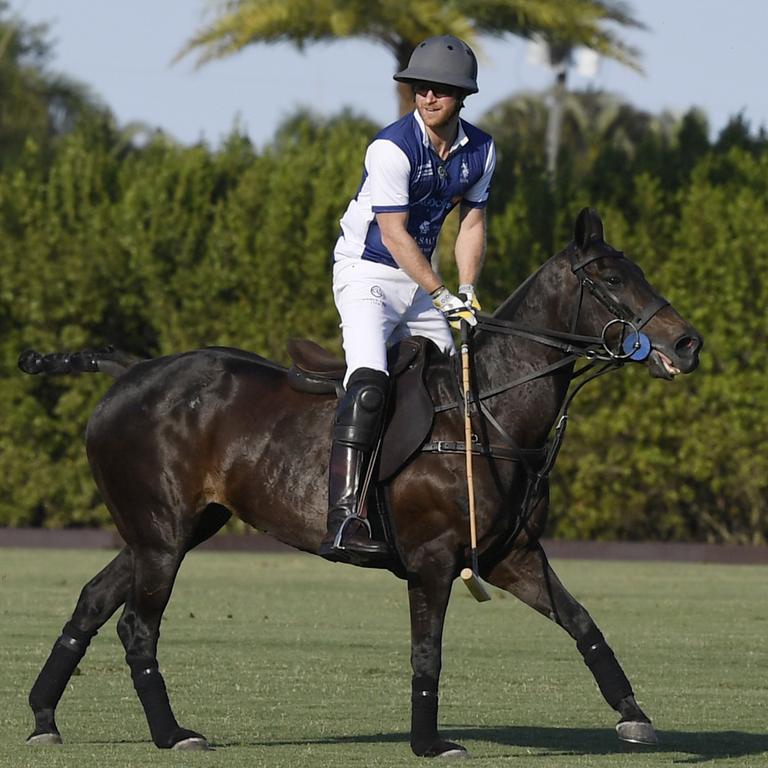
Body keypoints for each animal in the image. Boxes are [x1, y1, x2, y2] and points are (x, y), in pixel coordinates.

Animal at [18, 208, 704, 756]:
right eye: (612, 280)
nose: (688, 343)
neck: (486, 409)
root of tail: (131, 371)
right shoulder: (433, 559)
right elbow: (427, 651)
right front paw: (430, 743)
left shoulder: (512, 554)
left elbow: (584, 624)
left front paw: (635, 717)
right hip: (161, 534)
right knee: (137, 627)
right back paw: (171, 733)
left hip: (172, 529)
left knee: (92, 601)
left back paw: (44, 719)